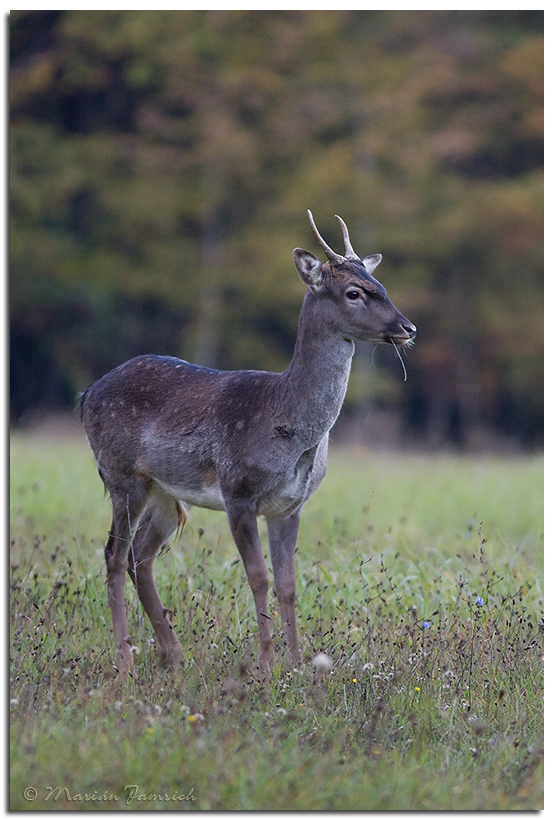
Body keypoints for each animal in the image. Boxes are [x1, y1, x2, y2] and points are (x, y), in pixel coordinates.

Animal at [78, 210, 414, 672]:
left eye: (381, 284)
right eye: (355, 292)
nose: (408, 327)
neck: (285, 422)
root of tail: (86, 394)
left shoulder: (290, 505)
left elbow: (289, 583)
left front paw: (297, 664)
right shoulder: (238, 492)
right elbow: (259, 577)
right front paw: (267, 664)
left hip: (163, 491)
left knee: (139, 556)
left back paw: (173, 654)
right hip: (121, 475)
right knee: (113, 554)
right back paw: (125, 659)